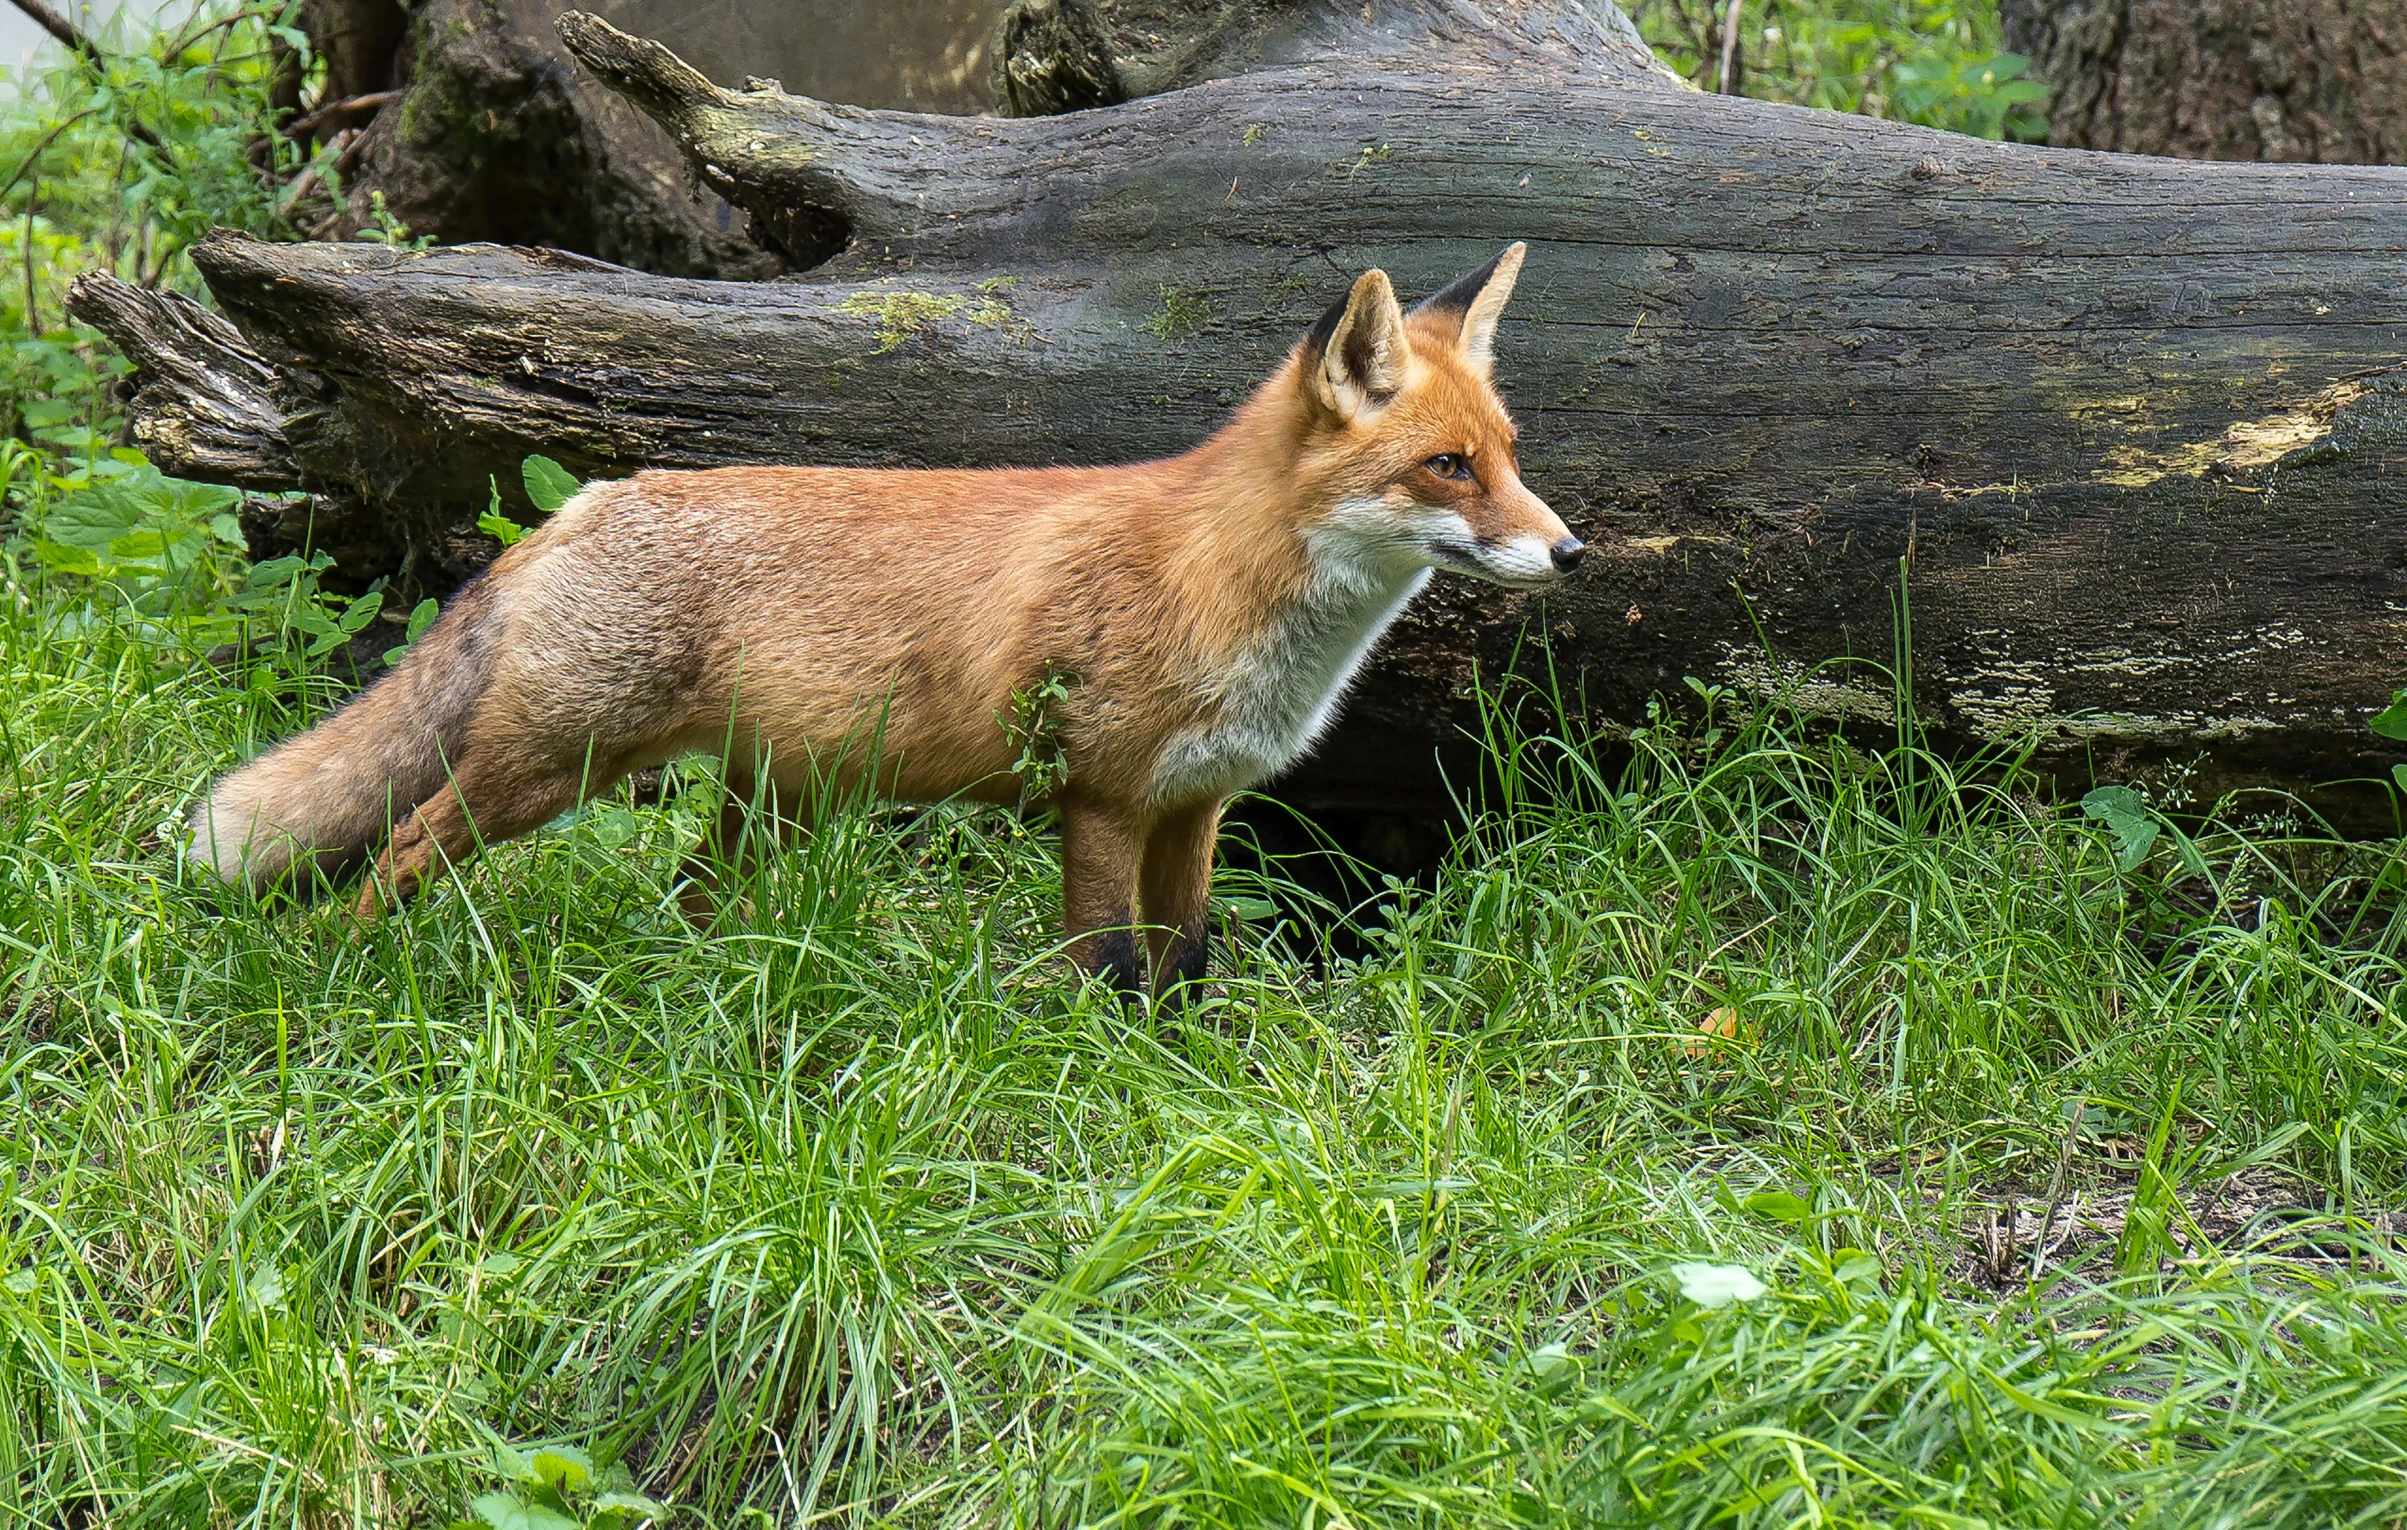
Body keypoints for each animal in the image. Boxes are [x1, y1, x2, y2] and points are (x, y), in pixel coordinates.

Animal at [187, 245, 1578, 995]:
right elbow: (1108, 973)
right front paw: (1109, 1094)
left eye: (1509, 457)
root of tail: (582, 501)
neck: (1218, 588)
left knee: (688, 899)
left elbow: (1184, 971)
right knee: (398, 850)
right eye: (1446, 468)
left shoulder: (1196, 805)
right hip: (547, 771)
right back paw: (344, 975)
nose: (1567, 551)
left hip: (765, 803)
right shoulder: (1101, 799)